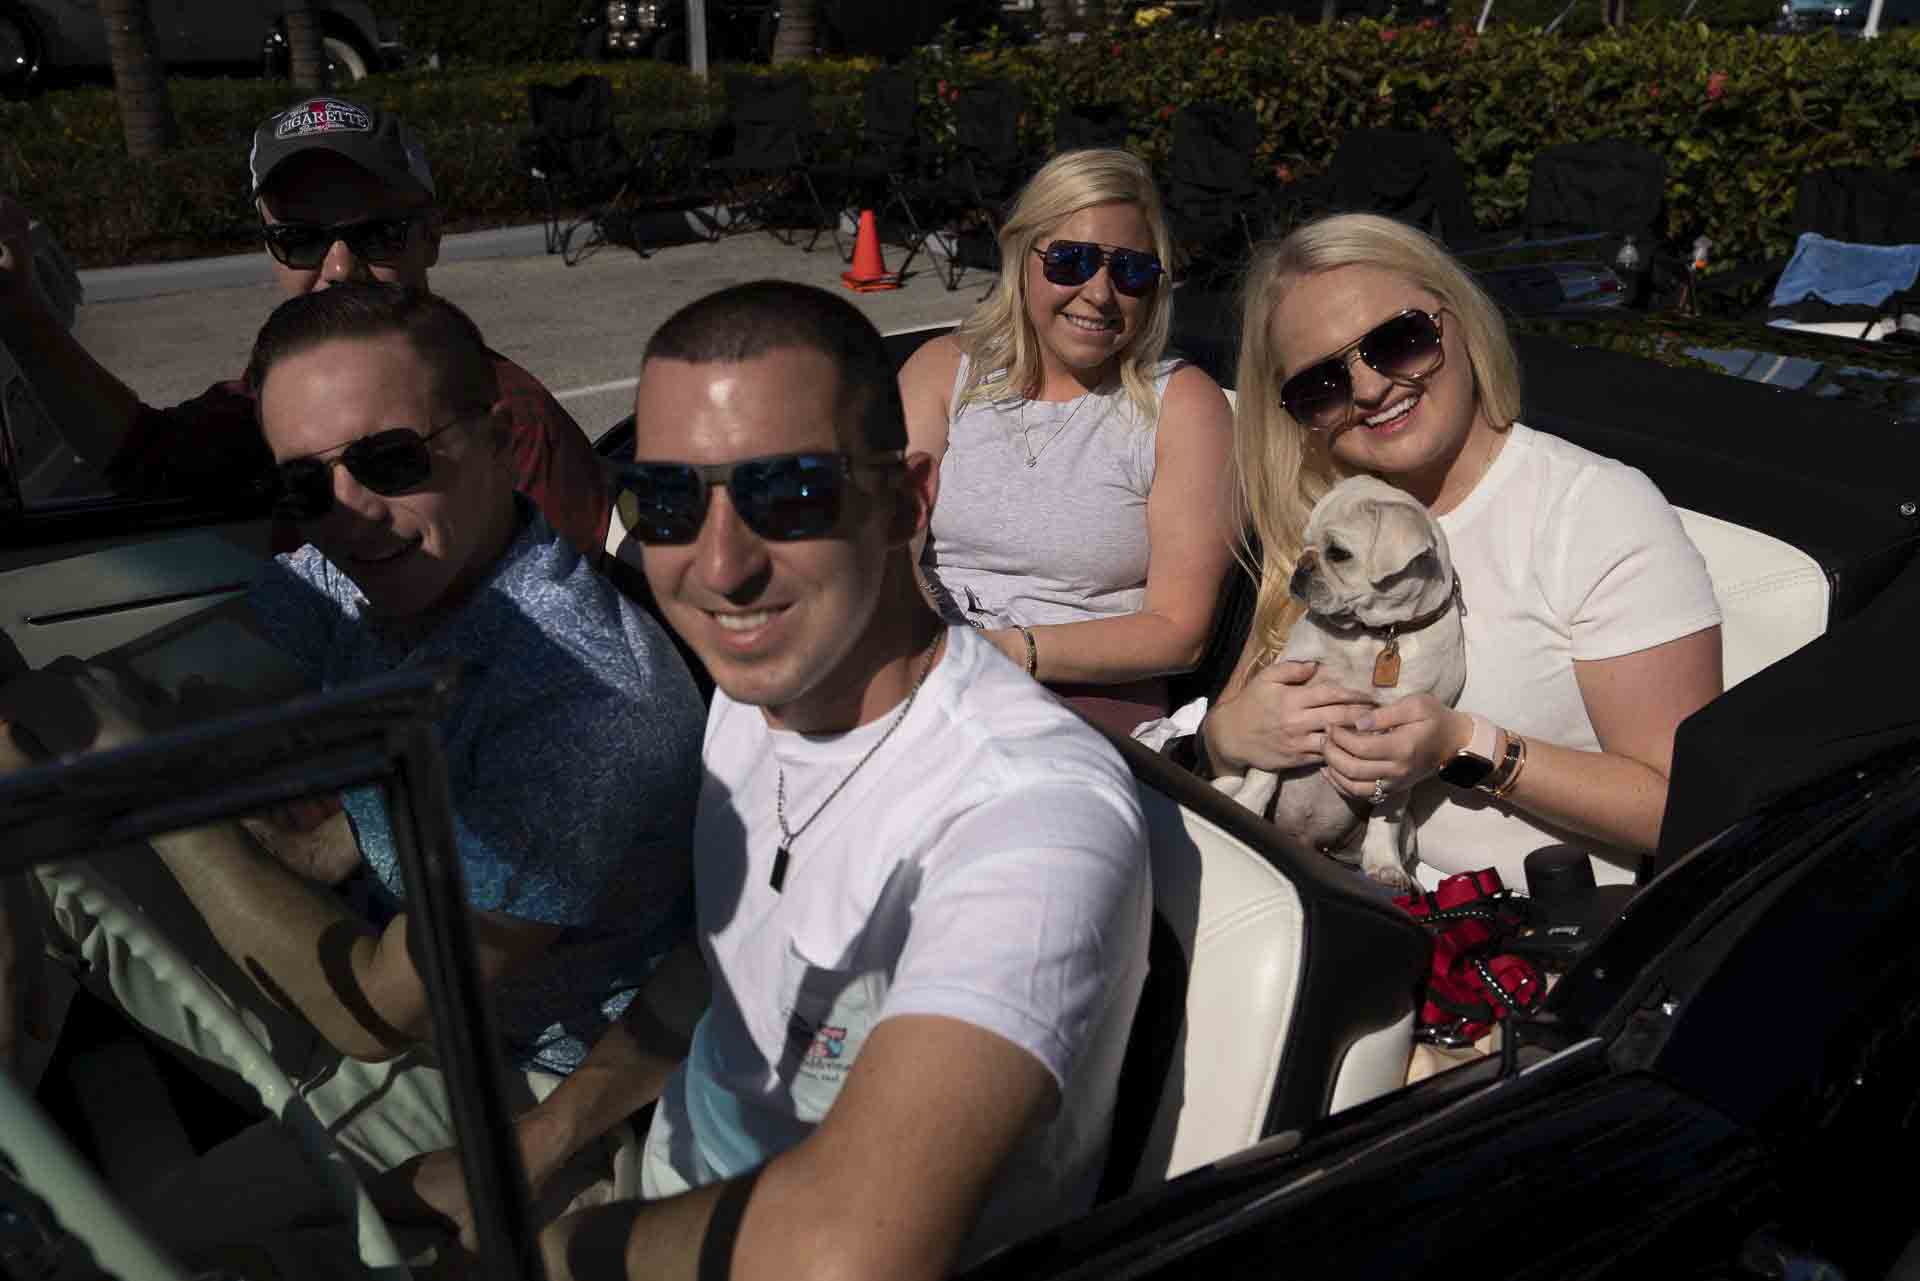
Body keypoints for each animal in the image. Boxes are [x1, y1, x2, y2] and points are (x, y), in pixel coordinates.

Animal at [1221, 475, 1467, 888]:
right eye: (1306, 542)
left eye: (1338, 553)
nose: (1301, 566)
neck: (1374, 636)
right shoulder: (1286, 701)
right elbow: (1264, 773)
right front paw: (1245, 806)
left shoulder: (1396, 744)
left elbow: (1386, 816)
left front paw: (1385, 865)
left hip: (1407, 829)